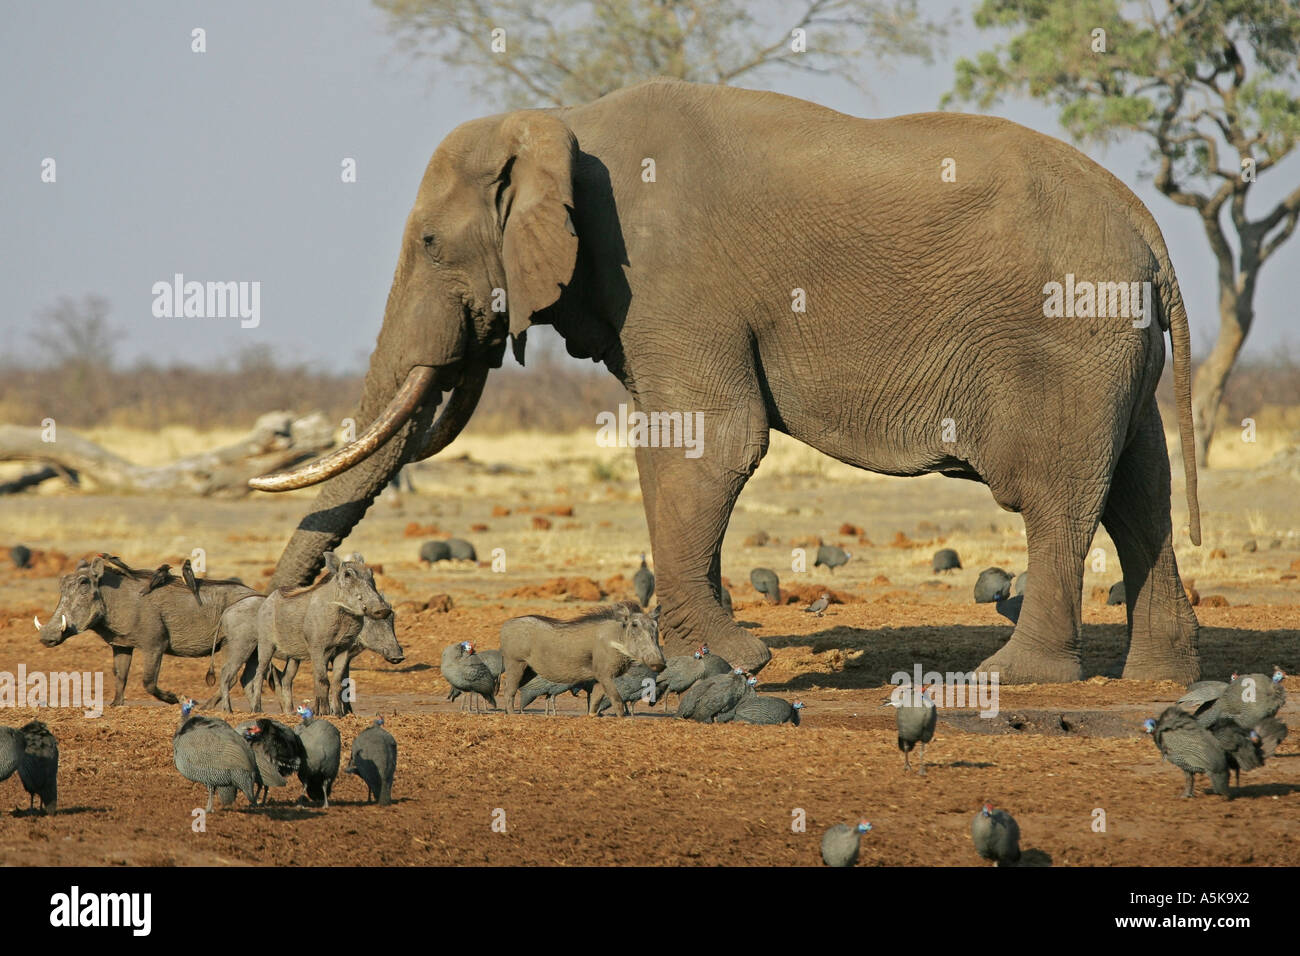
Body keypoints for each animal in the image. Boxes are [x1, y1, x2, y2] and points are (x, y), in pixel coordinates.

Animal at [250, 78, 1196, 686]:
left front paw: (730, 664)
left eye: (430, 245)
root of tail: (1148, 227)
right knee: (1139, 491)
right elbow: (677, 448)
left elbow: (711, 444)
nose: (285, 599)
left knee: (1056, 495)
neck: (562, 121)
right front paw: (707, 659)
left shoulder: (669, 276)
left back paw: (1016, 677)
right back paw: (1157, 677)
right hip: (1114, 346)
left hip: (1067, 333)